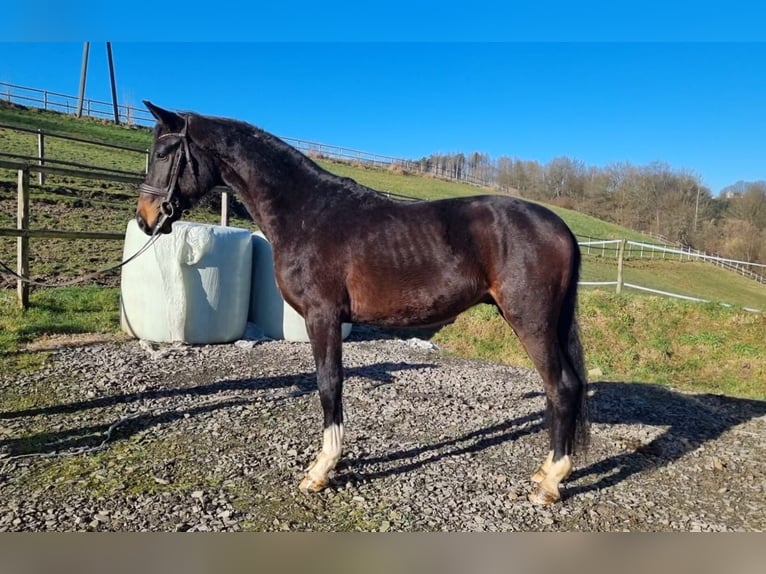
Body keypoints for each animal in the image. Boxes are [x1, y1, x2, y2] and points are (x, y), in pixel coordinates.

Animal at [138, 101, 592, 506]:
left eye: (162, 153)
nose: (145, 218)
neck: (307, 212)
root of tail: (560, 227)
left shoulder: (322, 318)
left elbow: (329, 384)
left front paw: (322, 470)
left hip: (531, 321)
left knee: (562, 387)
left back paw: (551, 483)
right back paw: (545, 471)